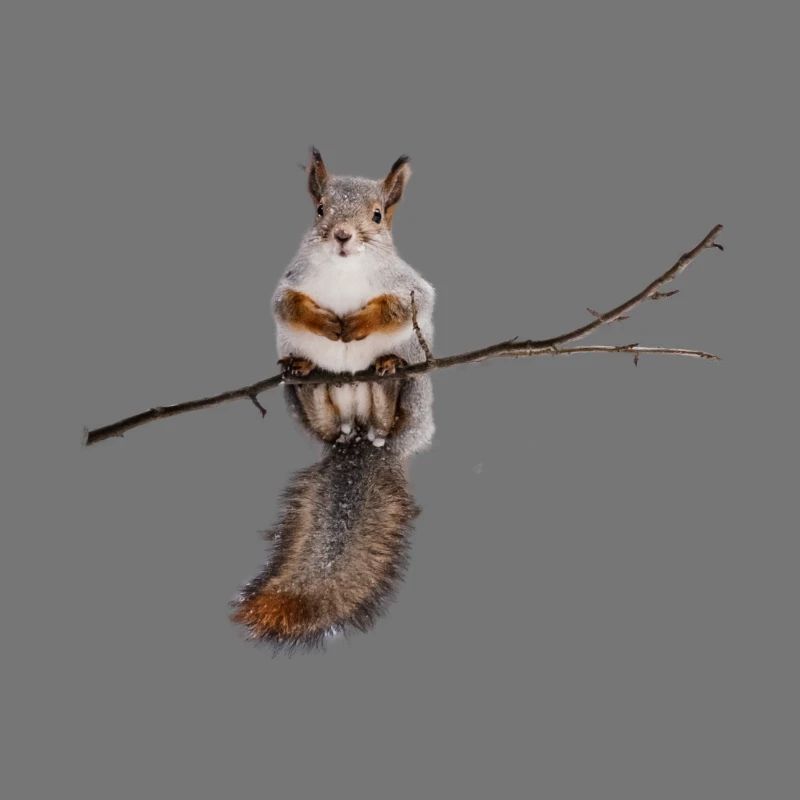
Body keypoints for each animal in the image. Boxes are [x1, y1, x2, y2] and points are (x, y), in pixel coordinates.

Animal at [230, 149, 435, 650]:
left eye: (377, 216)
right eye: (320, 209)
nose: (343, 236)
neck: (345, 271)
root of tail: (359, 436)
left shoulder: (412, 288)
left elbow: (405, 306)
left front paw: (357, 324)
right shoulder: (289, 285)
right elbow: (287, 306)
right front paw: (325, 323)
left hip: (413, 397)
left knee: (389, 409)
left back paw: (386, 374)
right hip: (306, 406)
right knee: (322, 412)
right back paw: (307, 374)